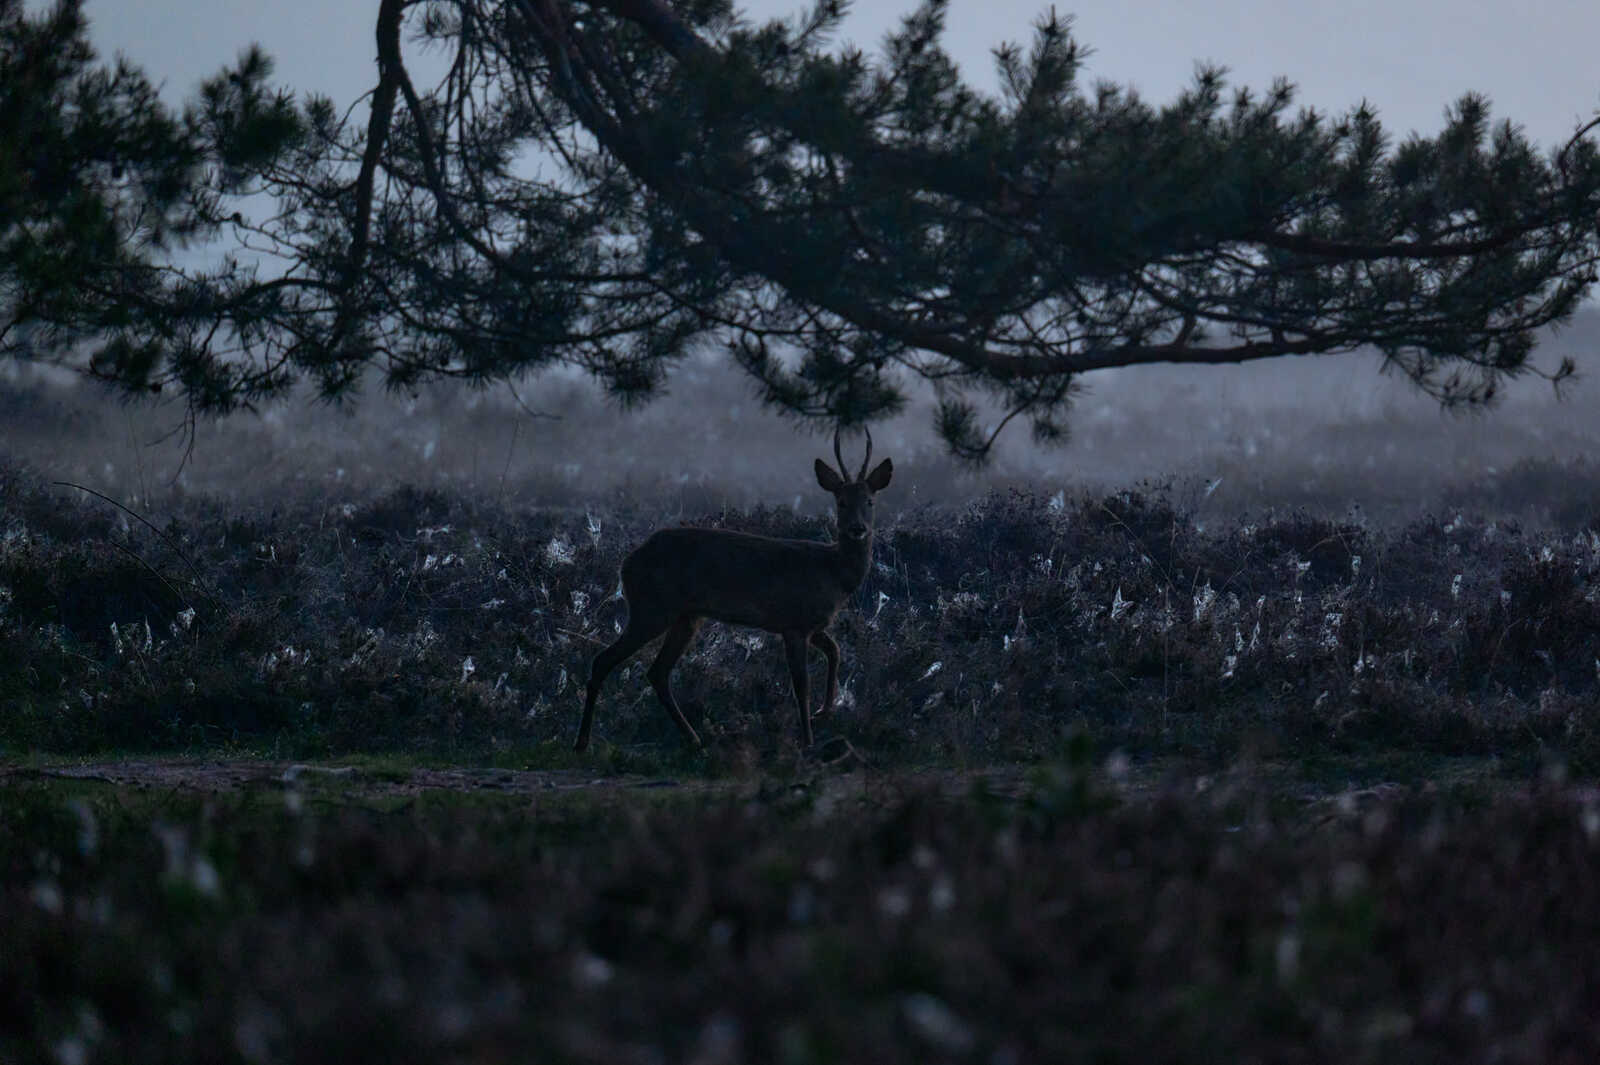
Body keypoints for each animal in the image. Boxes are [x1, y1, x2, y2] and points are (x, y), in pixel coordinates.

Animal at [575, 428, 893, 752]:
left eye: (870, 501)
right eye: (841, 501)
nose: (857, 529)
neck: (833, 573)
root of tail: (627, 562)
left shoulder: (812, 625)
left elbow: (835, 651)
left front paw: (823, 712)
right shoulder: (794, 623)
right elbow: (801, 685)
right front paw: (808, 742)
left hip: (686, 616)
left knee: (658, 672)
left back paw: (695, 739)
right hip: (651, 607)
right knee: (604, 661)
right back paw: (582, 742)